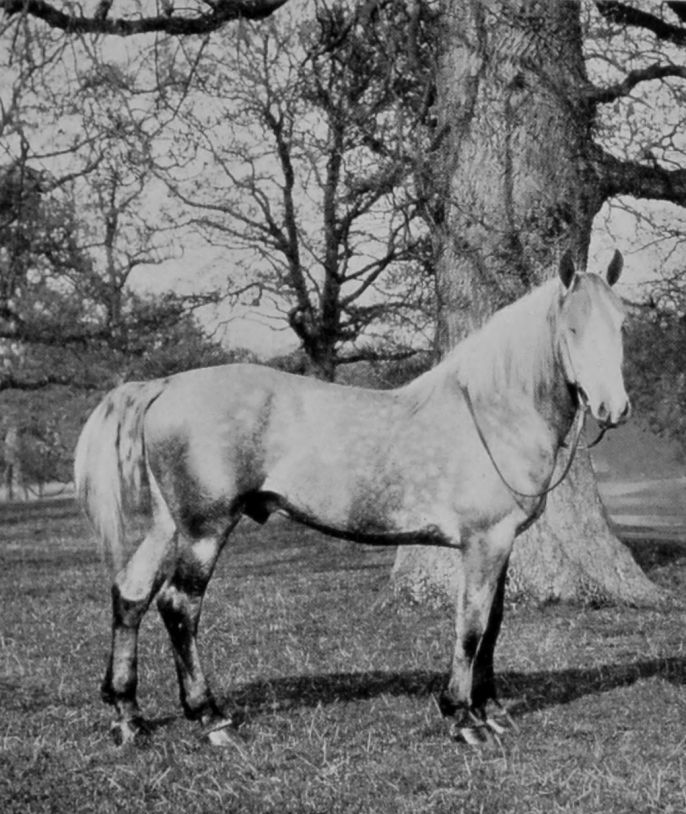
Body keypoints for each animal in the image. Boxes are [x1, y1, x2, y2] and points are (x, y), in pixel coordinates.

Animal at [74, 249, 630, 746]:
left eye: (621, 323)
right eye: (572, 329)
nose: (614, 408)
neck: (492, 414)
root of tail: (163, 385)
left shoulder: (502, 542)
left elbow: (492, 623)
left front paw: (490, 709)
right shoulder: (483, 541)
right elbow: (471, 626)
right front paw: (463, 717)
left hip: (168, 525)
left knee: (131, 595)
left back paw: (128, 715)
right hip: (204, 529)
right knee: (178, 606)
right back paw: (211, 718)